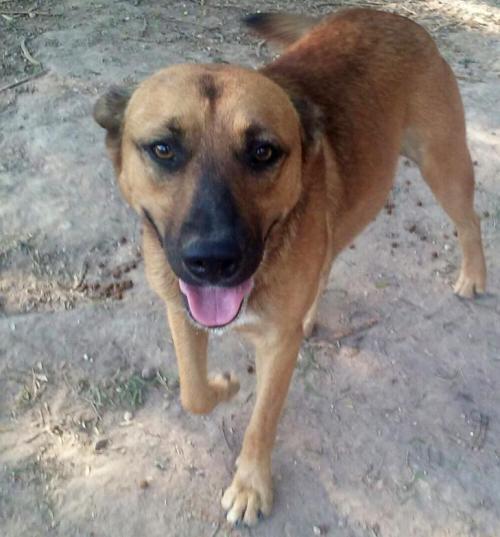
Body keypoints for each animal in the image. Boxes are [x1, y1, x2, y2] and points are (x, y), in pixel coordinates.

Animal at [92, 8, 486, 524]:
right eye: (163, 149)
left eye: (263, 151)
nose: (213, 260)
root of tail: (382, 14)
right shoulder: (181, 310)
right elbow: (193, 393)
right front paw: (222, 385)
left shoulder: (277, 344)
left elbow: (261, 420)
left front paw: (250, 486)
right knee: (328, 261)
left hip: (442, 165)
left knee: (470, 220)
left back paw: (475, 275)